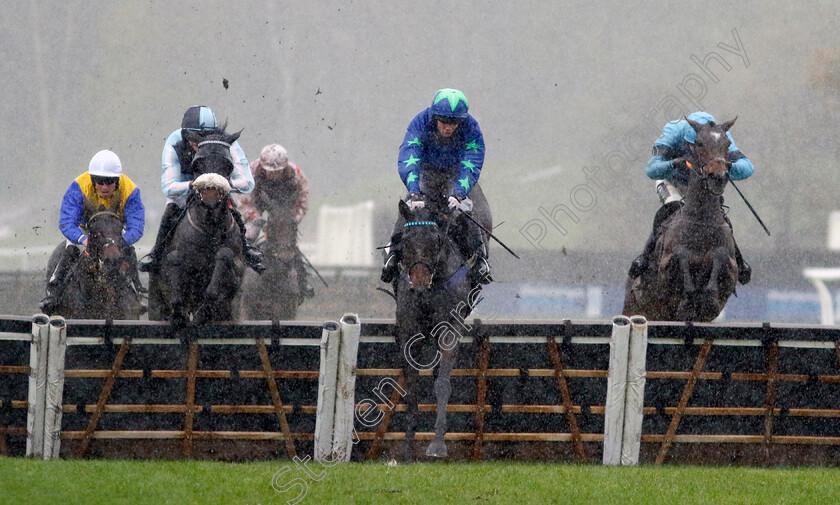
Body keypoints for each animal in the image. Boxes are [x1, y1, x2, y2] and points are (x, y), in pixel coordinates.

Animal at [148, 128, 244, 324]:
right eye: (196, 164)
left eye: (228, 165)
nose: (210, 198)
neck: (210, 228)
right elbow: (174, 260)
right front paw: (180, 314)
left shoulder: (236, 276)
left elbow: (225, 257)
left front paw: (202, 313)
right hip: (155, 305)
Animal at [388, 199, 482, 458]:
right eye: (405, 240)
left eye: (436, 240)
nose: (419, 283)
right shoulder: (409, 332)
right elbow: (412, 386)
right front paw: (408, 448)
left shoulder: (450, 329)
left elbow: (442, 384)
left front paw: (437, 443)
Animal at [624, 118, 740, 318]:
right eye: (699, 143)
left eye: (727, 143)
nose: (718, 176)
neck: (701, 222)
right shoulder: (664, 268)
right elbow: (680, 253)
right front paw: (688, 299)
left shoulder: (732, 270)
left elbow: (720, 254)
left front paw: (708, 299)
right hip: (633, 308)